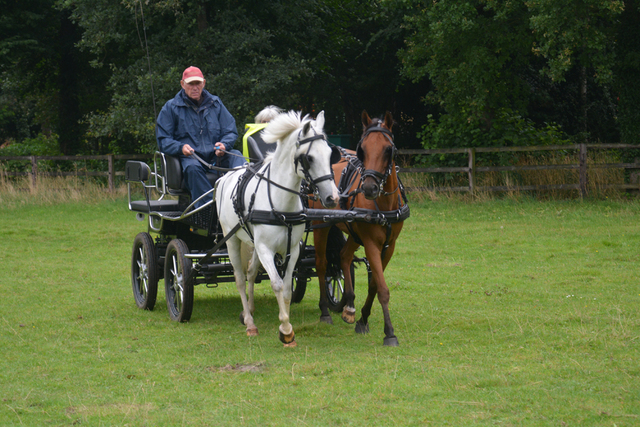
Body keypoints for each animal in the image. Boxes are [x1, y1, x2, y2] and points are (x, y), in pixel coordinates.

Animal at [216, 111, 340, 348]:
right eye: (309, 158)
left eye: (330, 155)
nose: (333, 197)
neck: (282, 204)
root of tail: (224, 177)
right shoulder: (266, 249)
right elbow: (276, 284)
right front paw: (286, 329)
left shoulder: (293, 250)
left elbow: (287, 288)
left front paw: (287, 325)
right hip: (231, 239)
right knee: (239, 278)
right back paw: (249, 322)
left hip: (253, 243)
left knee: (250, 272)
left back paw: (250, 310)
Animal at [310, 111, 410, 348]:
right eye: (362, 149)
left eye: (388, 149)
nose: (369, 188)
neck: (384, 204)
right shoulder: (372, 243)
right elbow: (382, 287)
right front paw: (389, 332)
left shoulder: (389, 245)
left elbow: (374, 283)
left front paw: (363, 318)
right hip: (320, 226)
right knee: (322, 264)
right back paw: (325, 311)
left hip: (353, 232)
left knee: (344, 256)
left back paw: (349, 306)